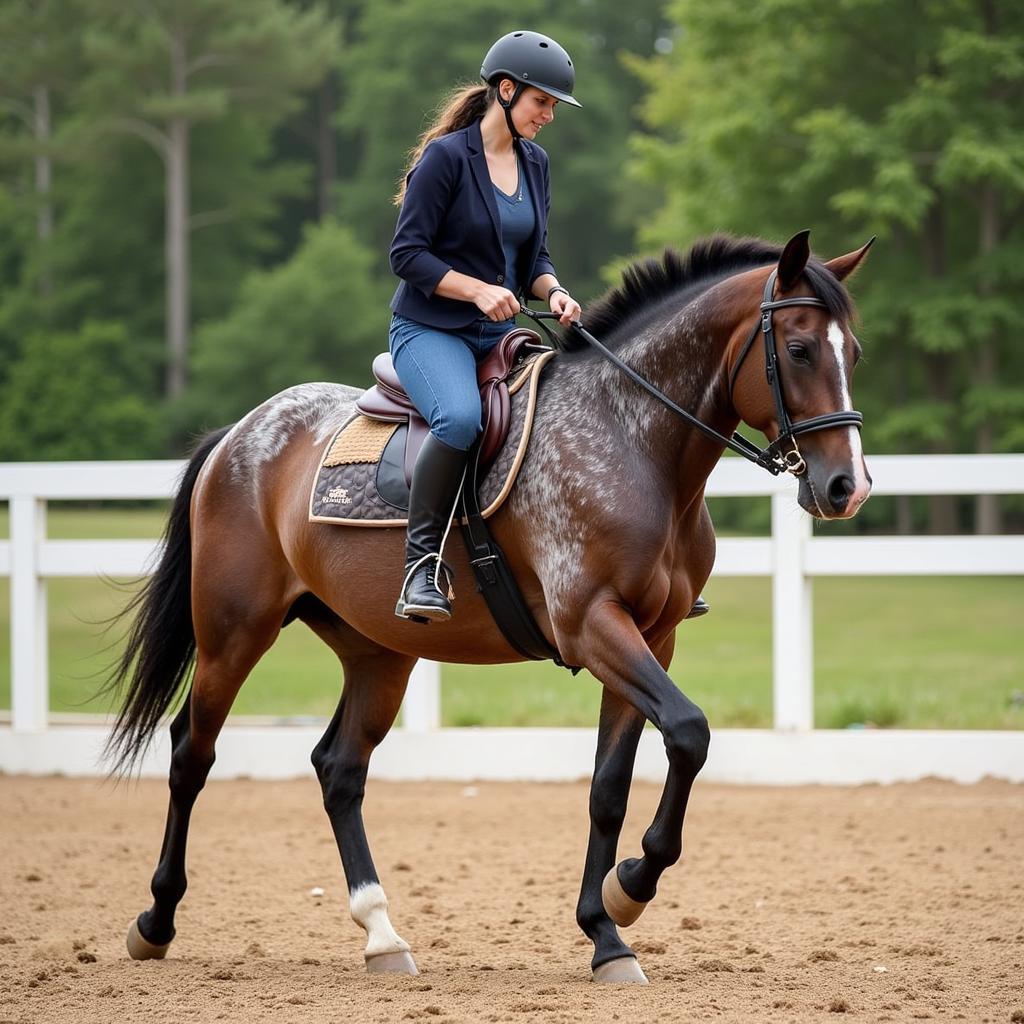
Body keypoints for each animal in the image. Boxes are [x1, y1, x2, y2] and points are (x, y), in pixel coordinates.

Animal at [105, 230, 872, 983]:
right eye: (800, 350)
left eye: (855, 353)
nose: (847, 487)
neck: (632, 438)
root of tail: (240, 433)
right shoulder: (594, 626)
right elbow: (689, 731)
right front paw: (630, 888)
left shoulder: (652, 638)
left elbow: (611, 786)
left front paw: (607, 928)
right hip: (234, 633)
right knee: (192, 753)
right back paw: (156, 921)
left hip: (379, 653)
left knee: (339, 769)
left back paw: (382, 935)